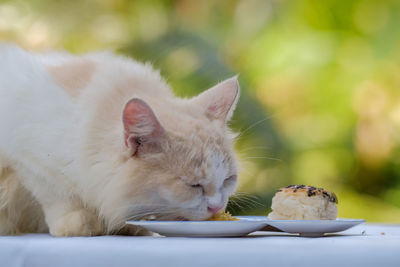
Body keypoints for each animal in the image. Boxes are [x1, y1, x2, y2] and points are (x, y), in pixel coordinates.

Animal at [0, 45, 239, 238]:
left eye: (228, 179)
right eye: (193, 185)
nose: (217, 208)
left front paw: (132, 227)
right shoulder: (30, 158)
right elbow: (58, 196)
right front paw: (79, 224)